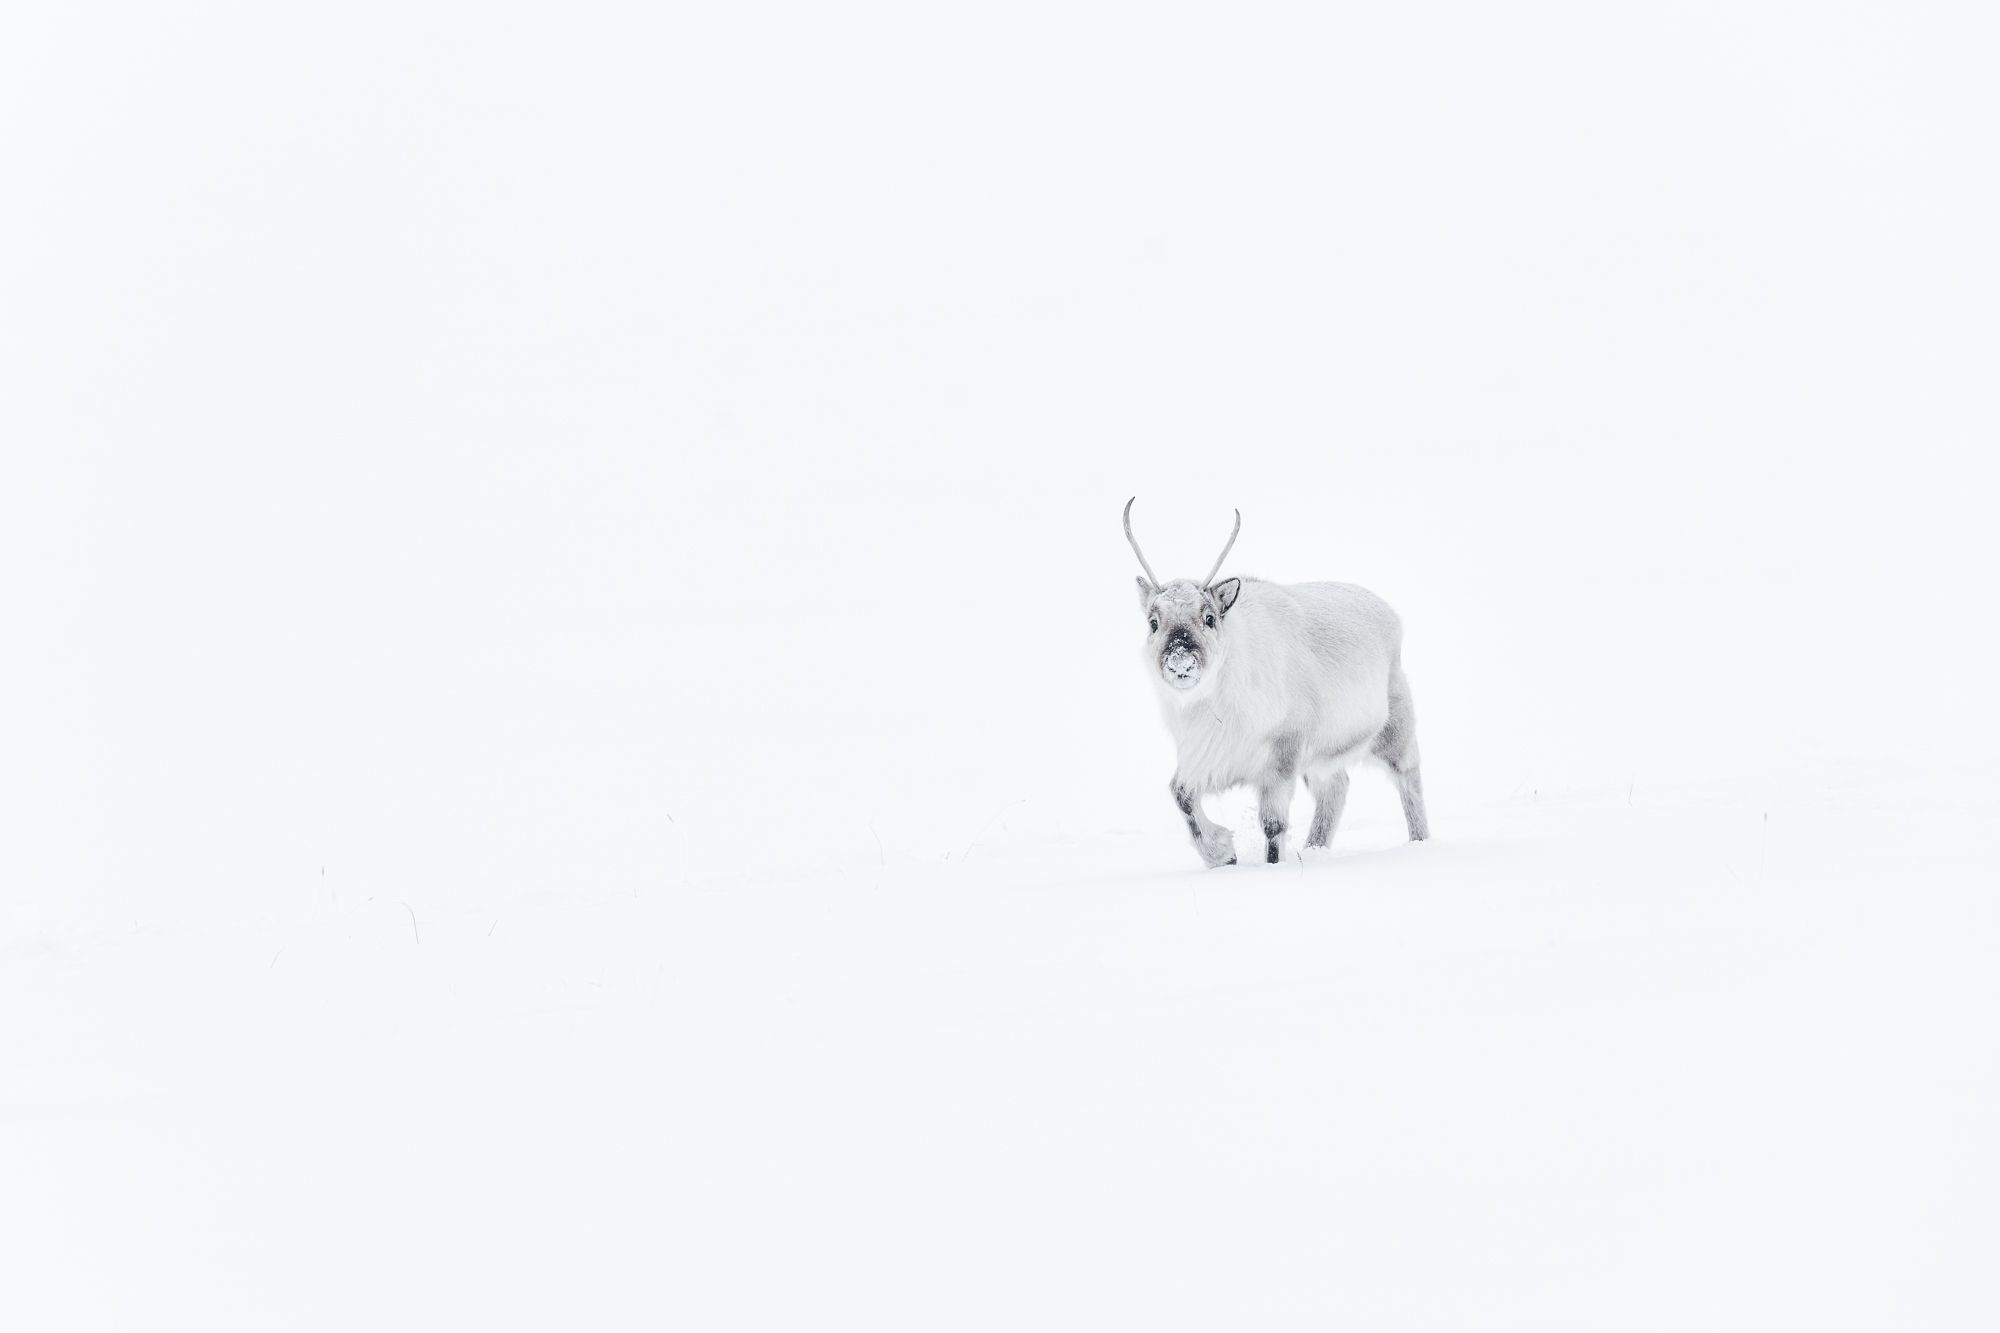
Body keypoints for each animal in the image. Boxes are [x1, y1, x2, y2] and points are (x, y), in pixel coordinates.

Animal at [1124, 498, 1429, 868]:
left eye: (1209, 618)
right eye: (1153, 623)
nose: (1180, 661)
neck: (1213, 706)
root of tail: (1390, 612)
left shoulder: (1280, 756)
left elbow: (1273, 826)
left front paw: (1267, 866)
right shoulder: (1203, 758)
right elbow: (1180, 795)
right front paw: (1223, 854)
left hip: (1395, 729)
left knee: (1409, 778)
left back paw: (1419, 843)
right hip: (1321, 756)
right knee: (1337, 787)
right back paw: (1313, 850)